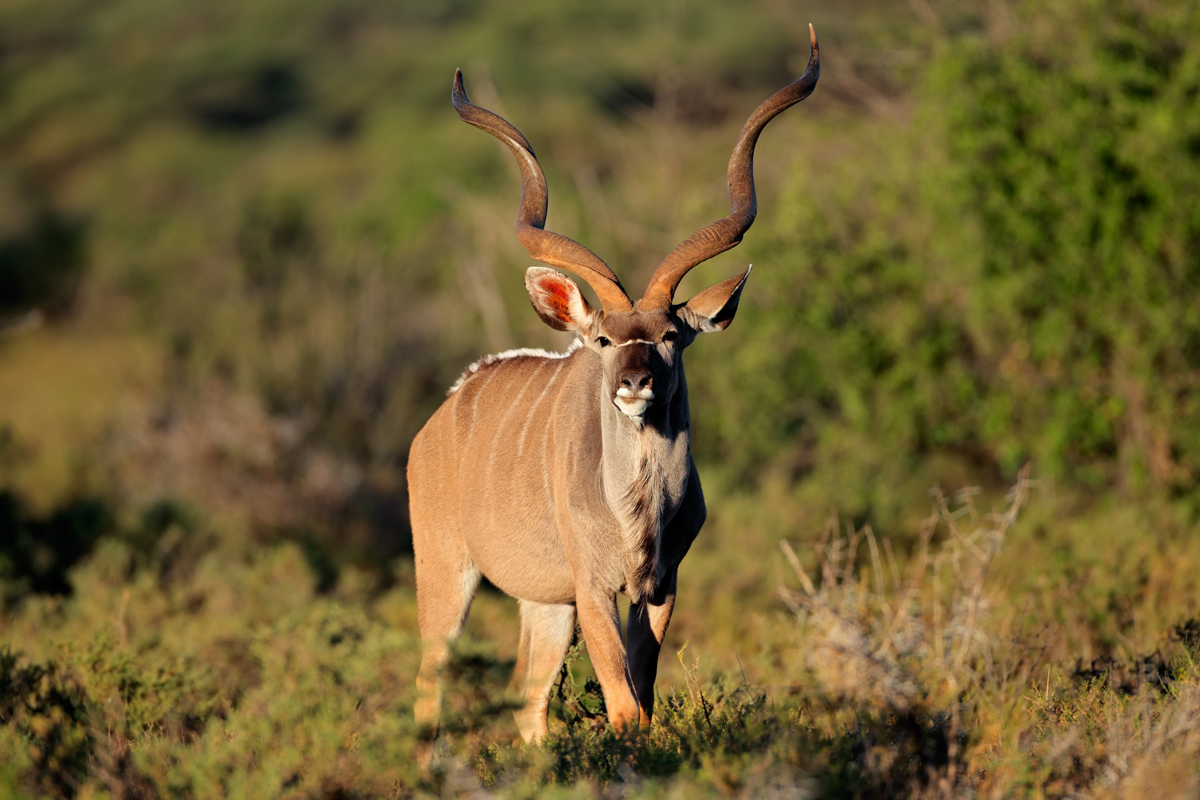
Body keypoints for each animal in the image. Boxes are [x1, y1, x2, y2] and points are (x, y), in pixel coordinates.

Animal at [410, 23, 816, 753]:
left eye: (671, 335)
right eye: (602, 339)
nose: (634, 381)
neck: (640, 514)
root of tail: (443, 414)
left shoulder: (660, 586)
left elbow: (643, 698)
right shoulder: (594, 586)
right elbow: (624, 705)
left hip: (544, 603)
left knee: (528, 700)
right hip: (447, 573)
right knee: (431, 684)